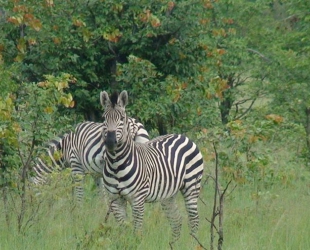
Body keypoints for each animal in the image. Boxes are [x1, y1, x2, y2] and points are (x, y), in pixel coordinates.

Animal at [100, 90, 205, 244]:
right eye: (104, 118)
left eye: (122, 119)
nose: (110, 142)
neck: (116, 165)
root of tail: (183, 136)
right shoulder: (115, 199)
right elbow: (124, 229)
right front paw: (124, 244)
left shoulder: (138, 199)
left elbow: (137, 231)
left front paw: (135, 245)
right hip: (168, 194)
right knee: (177, 220)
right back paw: (173, 245)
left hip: (192, 186)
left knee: (194, 219)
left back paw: (194, 244)